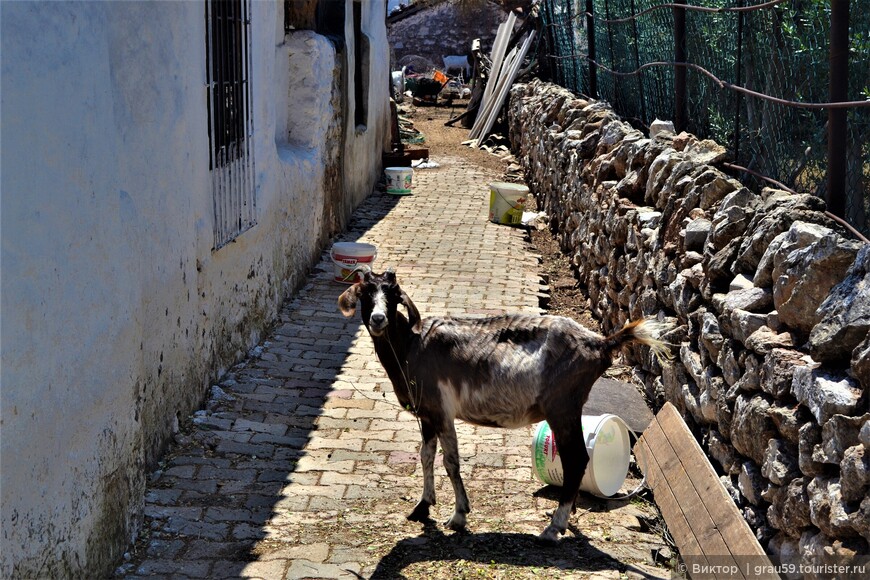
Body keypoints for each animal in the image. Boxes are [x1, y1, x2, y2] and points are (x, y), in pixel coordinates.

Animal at [338, 270, 672, 540]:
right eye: (365, 293)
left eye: (393, 296)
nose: (378, 319)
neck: (411, 346)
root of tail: (601, 343)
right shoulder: (428, 414)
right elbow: (426, 456)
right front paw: (422, 507)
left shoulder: (442, 411)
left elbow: (451, 461)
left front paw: (458, 516)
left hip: (562, 407)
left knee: (576, 459)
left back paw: (554, 527)